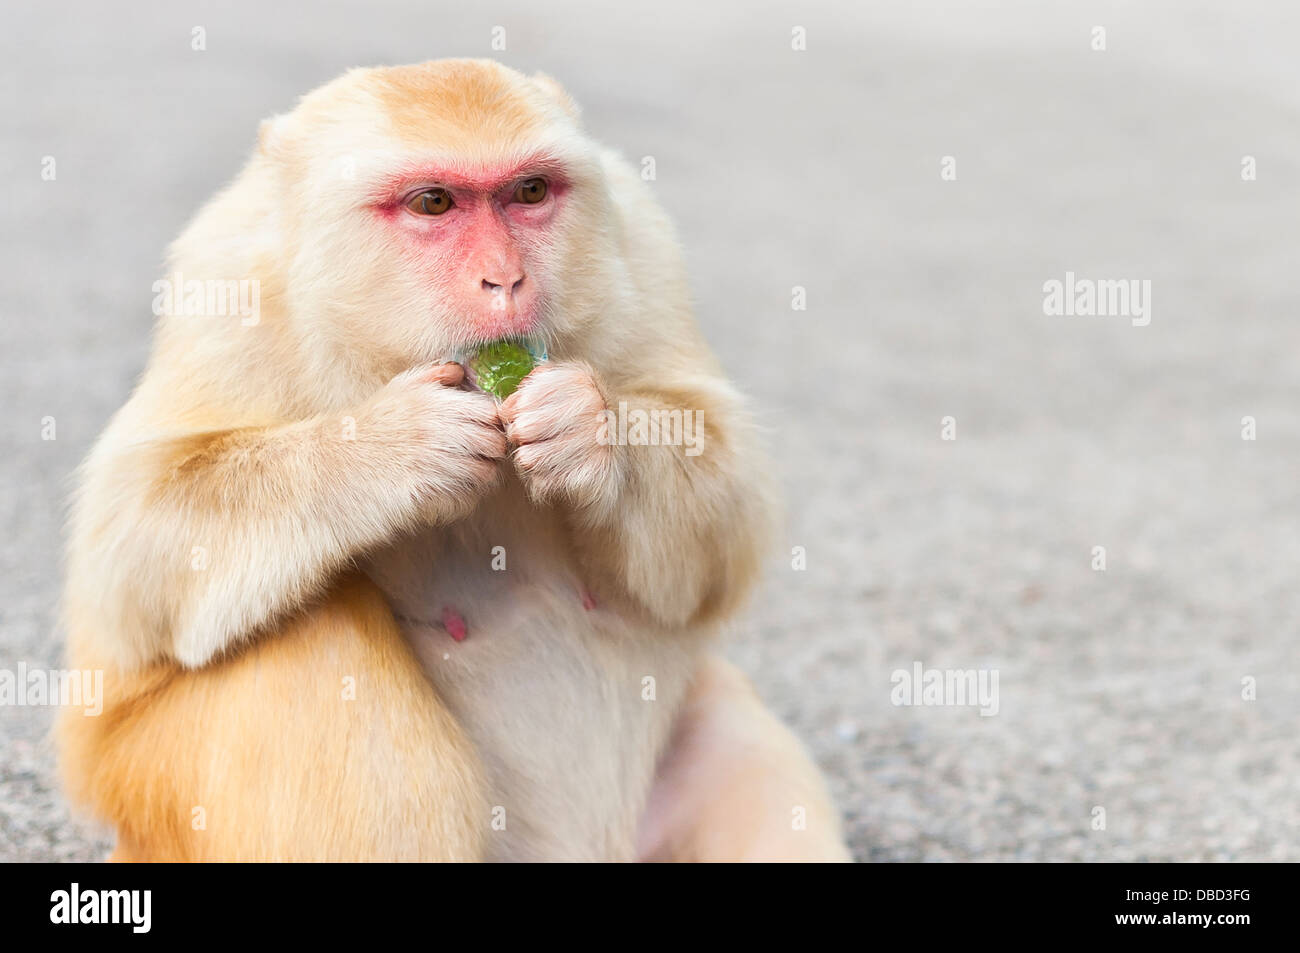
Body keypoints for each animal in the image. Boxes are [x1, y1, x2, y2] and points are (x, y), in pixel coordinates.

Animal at [61, 59, 852, 863]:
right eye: (434, 202)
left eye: (528, 192)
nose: (506, 280)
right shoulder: (226, 285)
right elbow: (133, 547)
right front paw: (392, 450)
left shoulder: (641, 239)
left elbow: (724, 495)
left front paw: (590, 434)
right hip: (148, 789)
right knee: (311, 649)